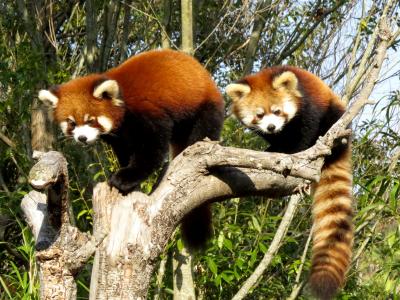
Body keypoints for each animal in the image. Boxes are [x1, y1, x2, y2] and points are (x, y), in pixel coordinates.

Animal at [39, 49, 227, 248]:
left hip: (204, 105)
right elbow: (125, 151)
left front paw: (126, 177)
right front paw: (126, 172)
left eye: (90, 121)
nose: (82, 138)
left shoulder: (149, 113)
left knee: (203, 129)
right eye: (72, 123)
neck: (122, 105)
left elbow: (151, 149)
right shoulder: (120, 136)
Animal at [227, 66, 352, 300]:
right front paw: (273, 149)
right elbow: (275, 140)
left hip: (336, 116)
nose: (271, 126)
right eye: (259, 115)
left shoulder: (309, 108)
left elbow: (306, 132)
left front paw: (296, 152)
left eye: (277, 111)